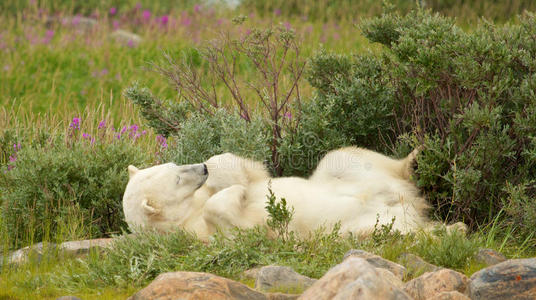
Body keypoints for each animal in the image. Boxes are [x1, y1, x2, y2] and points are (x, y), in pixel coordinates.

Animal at [123, 146, 442, 240]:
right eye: (177, 179)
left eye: (173, 166)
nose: (199, 168)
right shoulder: (204, 235)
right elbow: (242, 227)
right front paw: (239, 193)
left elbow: (245, 170)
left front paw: (225, 176)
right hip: (361, 227)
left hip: (349, 177)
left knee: (340, 158)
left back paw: (415, 157)